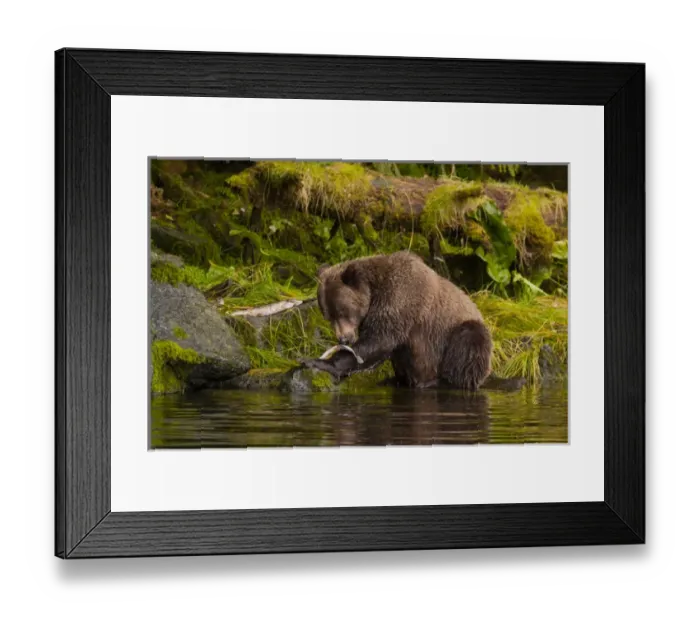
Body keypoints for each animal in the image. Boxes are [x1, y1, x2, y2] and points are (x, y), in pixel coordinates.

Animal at [303, 250, 493, 390]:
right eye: (328, 316)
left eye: (342, 311)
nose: (343, 338)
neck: (374, 293)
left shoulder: (400, 301)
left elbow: (378, 340)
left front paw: (319, 362)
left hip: (459, 334)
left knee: (470, 342)